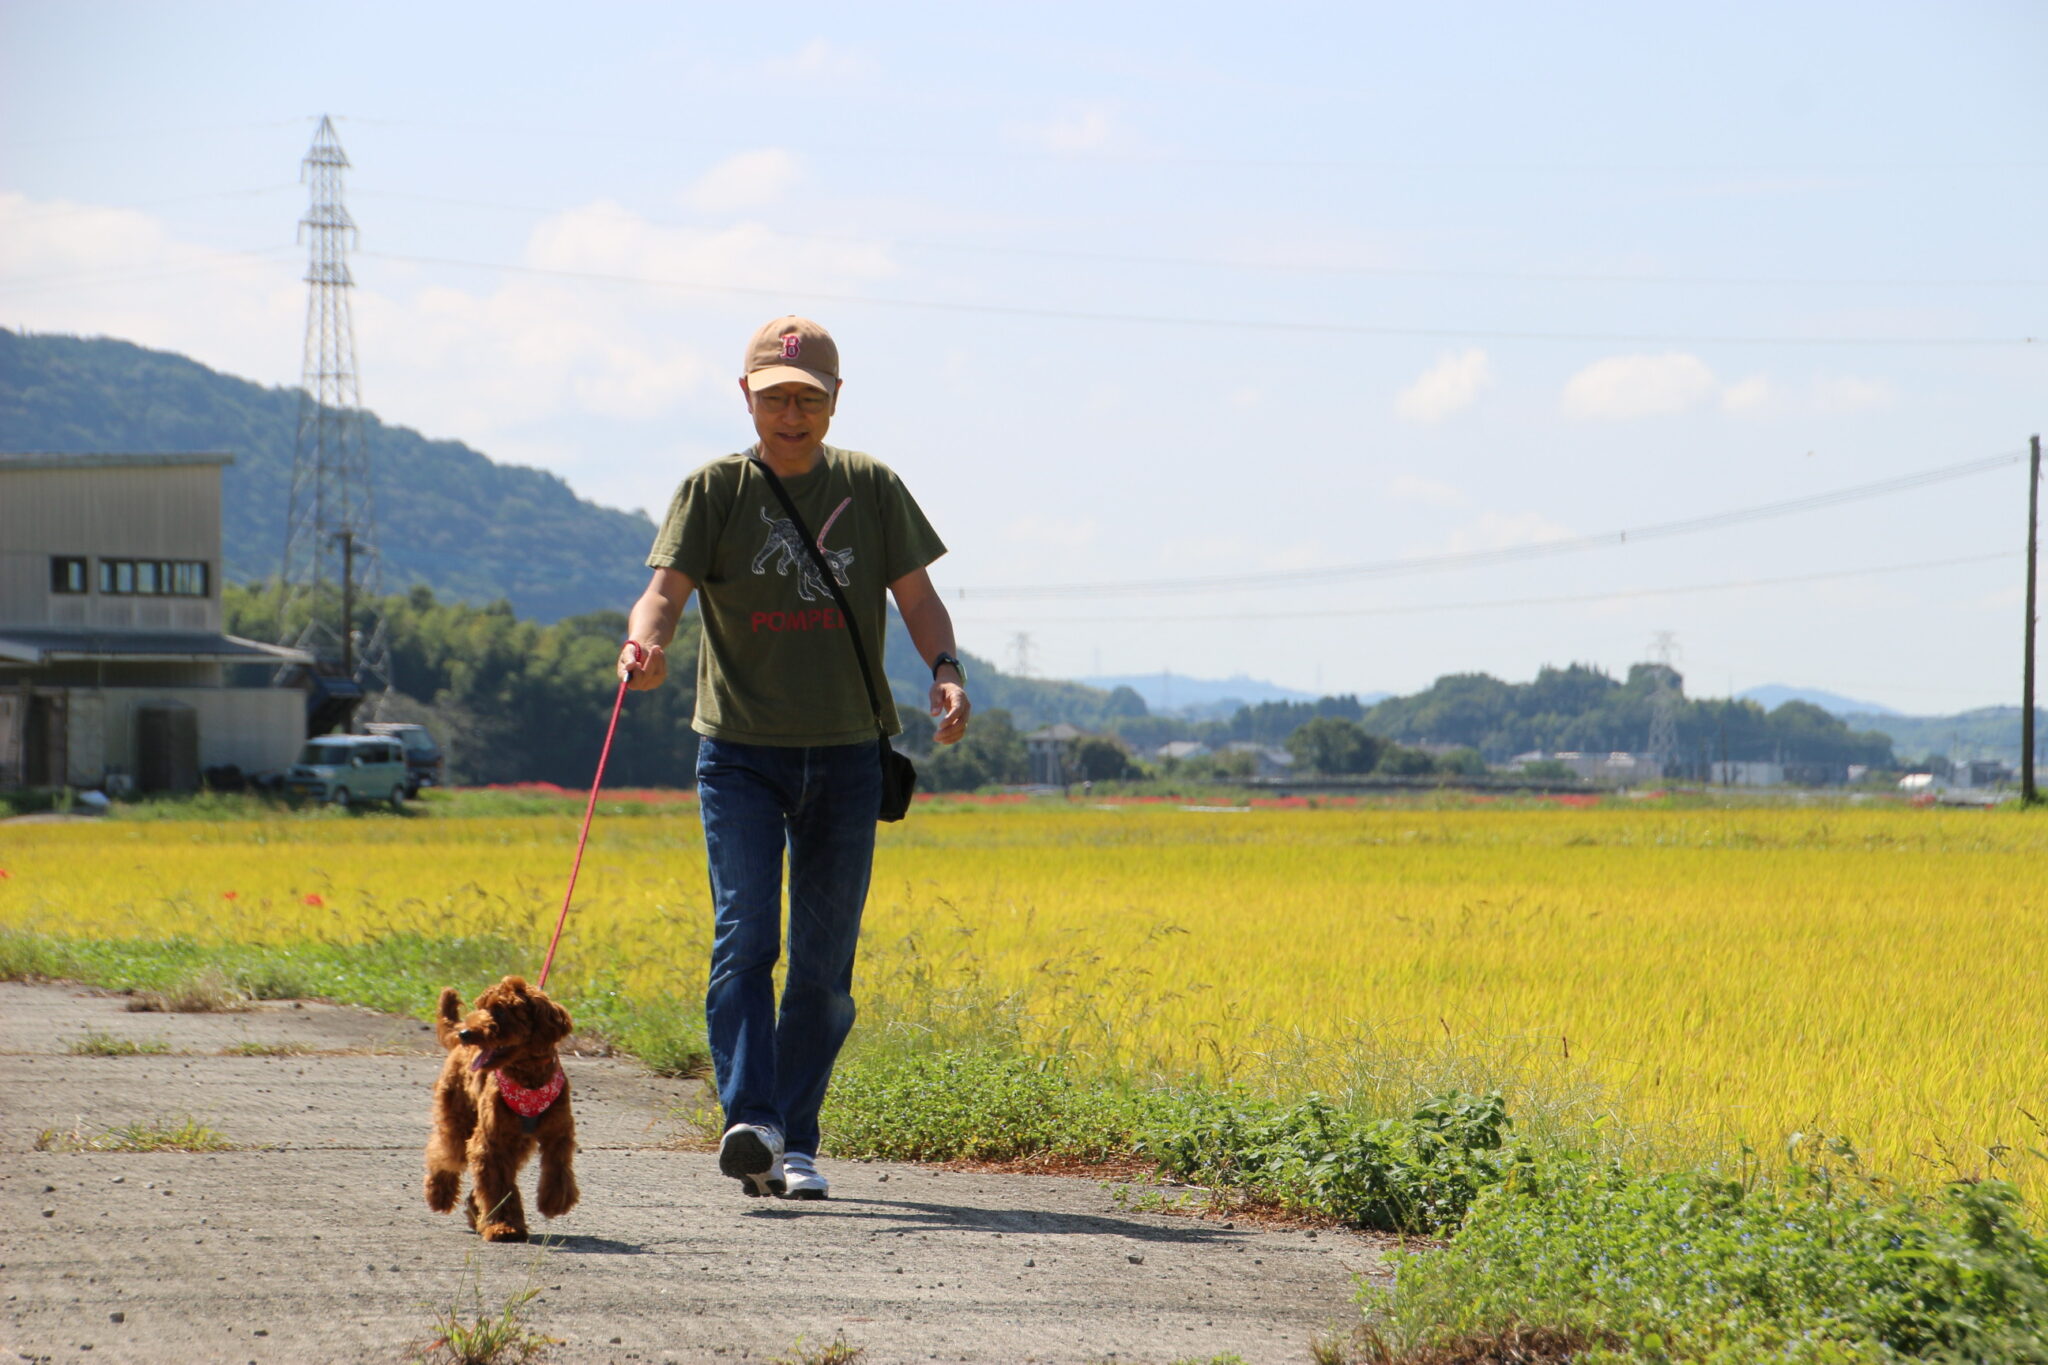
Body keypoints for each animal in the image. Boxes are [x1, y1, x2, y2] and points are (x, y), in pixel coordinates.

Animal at [423, 975, 579, 1241]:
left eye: (500, 1010)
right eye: (481, 1007)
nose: (466, 1034)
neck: (528, 1078)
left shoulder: (558, 1133)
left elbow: (557, 1168)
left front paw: (554, 1202)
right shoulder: (491, 1141)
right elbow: (499, 1186)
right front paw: (504, 1226)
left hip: (519, 1141)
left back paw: (475, 1211)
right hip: (459, 1118)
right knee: (443, 1153)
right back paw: (439, 1194)